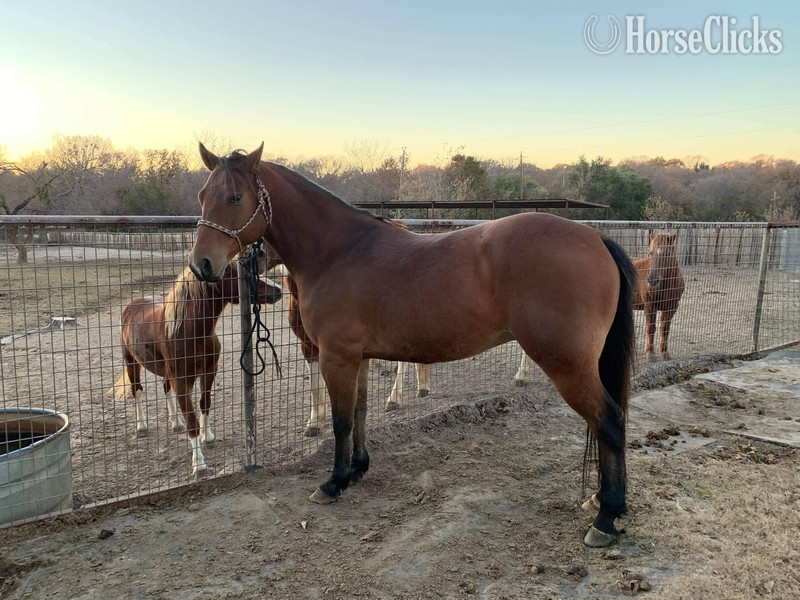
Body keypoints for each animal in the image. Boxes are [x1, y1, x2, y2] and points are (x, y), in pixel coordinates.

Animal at [109, 252, 282, 475]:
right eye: (240, 275)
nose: (277, 290)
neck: (190, 332)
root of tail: (133, 304)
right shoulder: (183, 381)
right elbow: (192, 420)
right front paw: (199, 463)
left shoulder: (208, 372)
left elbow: (204, 404)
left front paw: (207, 437)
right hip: (132, 362)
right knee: (137, 390)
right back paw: (142, 427)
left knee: (165, 388)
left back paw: (175, 423)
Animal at [188, 143, 636, 547]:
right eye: (202, 195)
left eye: (235, 196)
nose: (201, 265)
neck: (339, 251)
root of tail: (597, 239)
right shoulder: (358, 358)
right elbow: (361, 413)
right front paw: (357, 470)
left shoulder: (337, 357)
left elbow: (341, 420)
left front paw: (333, 483)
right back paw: (601, 502)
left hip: (568, 366)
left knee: (609, 422)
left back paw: (605, 519)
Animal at [632, 232, 685, 362]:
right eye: (650, 253)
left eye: (667, 253)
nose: (652, 280)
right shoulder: (650, 307)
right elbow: (651, 329)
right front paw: (650, 355)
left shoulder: (671, 308)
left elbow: (664, 329)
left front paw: (665, 354)